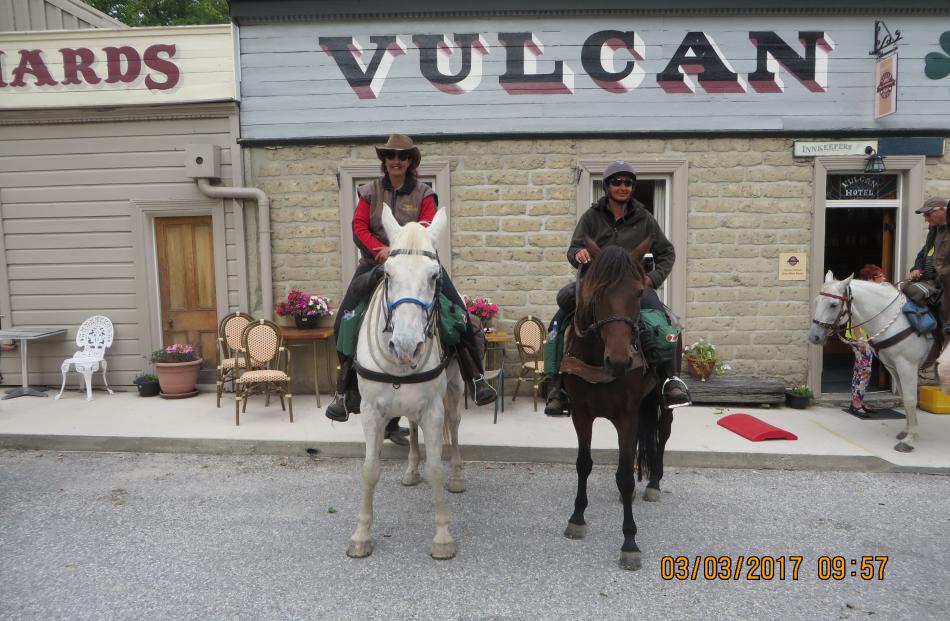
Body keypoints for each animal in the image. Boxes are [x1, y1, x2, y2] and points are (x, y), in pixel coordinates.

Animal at [350, 206, 468, 560]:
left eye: (434, 276)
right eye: (387, 274)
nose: (405, 346)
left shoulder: (433, 410)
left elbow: (436, 469)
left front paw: (442, 538)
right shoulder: (371, 411)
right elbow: (370, 469)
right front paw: (361, 535)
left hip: (455, 392)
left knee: (454, 428)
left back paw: (457, 477)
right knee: (412, 430)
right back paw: (411, 471)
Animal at [560, 239, 664, 572]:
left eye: (638, 292)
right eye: (598, 292)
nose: (619, 361)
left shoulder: (626, 417)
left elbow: (625, 478)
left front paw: (629, 542)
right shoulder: (581, 414)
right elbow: (584, 464)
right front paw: (577, 518)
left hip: (660, 402)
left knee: (662, 437)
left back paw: (654, 483)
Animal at [812, 272, 936, 450]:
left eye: (833, 305)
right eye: (817, 301)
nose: (814, 336)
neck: (897, 320)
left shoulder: (907, 366)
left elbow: (911, 400)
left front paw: (909, 439)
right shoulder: (894, 367)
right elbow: (905, 398)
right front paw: (907, 431)